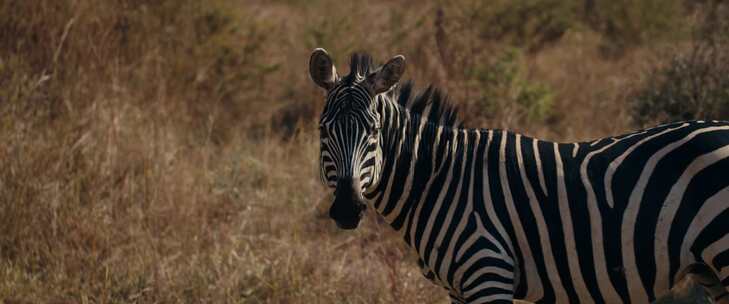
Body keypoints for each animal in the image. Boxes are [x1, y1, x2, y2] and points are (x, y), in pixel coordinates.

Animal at [310, 48, 728, 302]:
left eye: (373, 131)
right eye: (323, 131)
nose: (346, 209)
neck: (439, 179)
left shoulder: (489, 272)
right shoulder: (459, 290)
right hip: (709, 270)